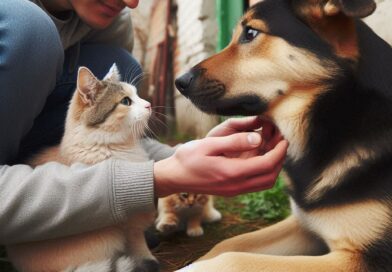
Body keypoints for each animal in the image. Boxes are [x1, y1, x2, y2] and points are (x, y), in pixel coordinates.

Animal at [176, 0, 392, 270]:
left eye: (250, 33)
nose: (179, 82)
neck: (340, 115)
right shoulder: (304, 226)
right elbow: (229, 244)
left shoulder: (366, 258)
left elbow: (234, 259)